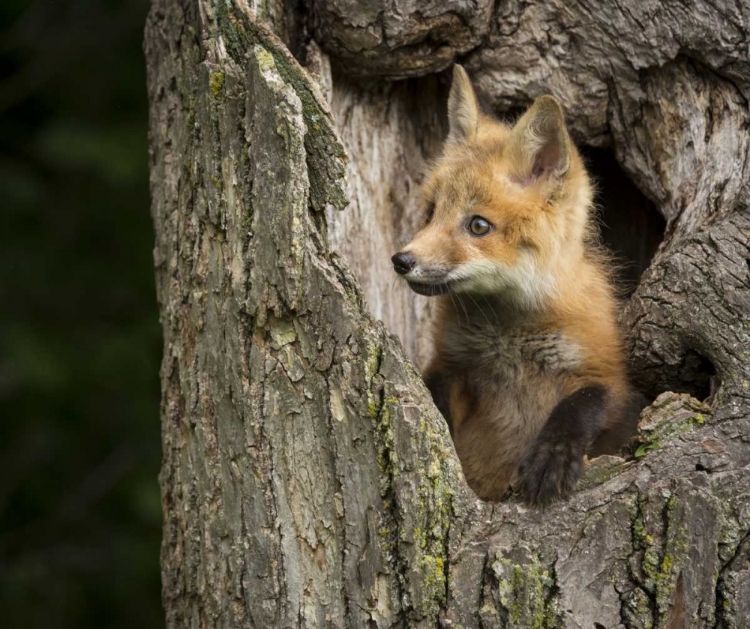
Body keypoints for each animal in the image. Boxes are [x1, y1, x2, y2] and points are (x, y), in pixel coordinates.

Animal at [390, 65, 644, 506]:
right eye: (431, 211)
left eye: (478, 225)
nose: (402, 261)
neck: (509, 339)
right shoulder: (452, 366)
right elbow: (436, 400)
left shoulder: (609, 374)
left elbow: (582, 404)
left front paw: (552, 456)